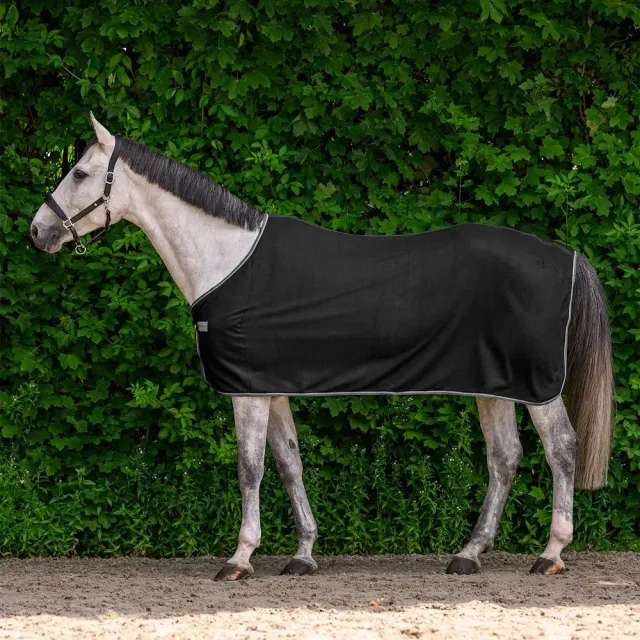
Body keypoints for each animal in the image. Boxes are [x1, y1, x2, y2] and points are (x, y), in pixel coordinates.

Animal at [30, 114, 614, 580]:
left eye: (79, 173)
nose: (37, 232)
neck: (227, 260)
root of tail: (567, 255)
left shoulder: (247, 391)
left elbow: (249, 468)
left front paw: (239, 559)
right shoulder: (271, 388)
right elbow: (289, 463)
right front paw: (303, 554)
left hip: (537, 386)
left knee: (562, 449)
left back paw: (550, 554)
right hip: (494, 384)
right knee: (505, 458)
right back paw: (468, 555)